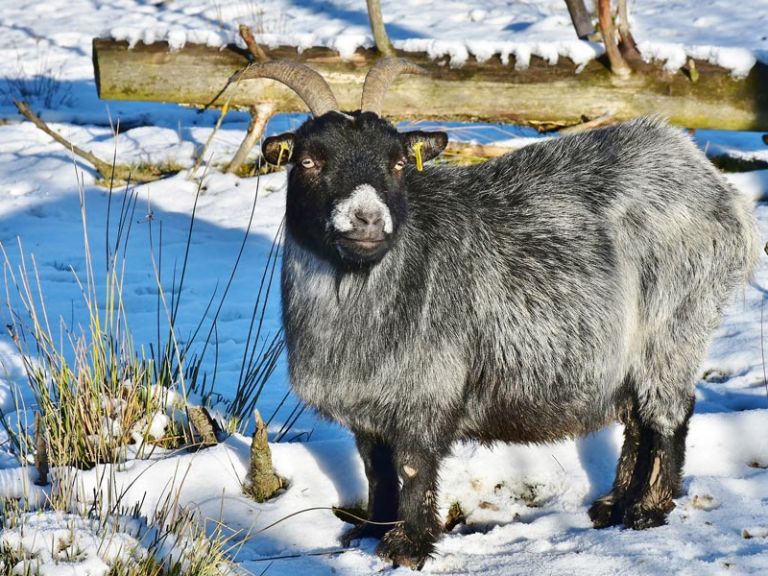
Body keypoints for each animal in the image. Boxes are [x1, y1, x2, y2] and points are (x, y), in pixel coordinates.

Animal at [242, 58, 759, 570]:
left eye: (397, 163)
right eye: (309, 161)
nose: (368, 219)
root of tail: (717, 186)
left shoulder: (426, 390)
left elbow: (412, 465)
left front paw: (409, 546)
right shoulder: (367, 406)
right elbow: (376, 466)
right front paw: (372, 532)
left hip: (676, 323)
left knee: (669, 414)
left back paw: (648, 509)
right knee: (636, 418)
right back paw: (614, 505)